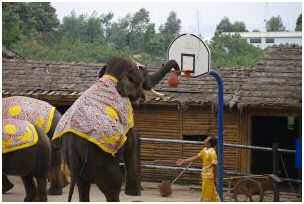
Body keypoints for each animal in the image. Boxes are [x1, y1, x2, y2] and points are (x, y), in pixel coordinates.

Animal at [52, 56, 180, 202]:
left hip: (76, 166)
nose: (178, 72)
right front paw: (134, 193)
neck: (112, 75)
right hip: (102, 163)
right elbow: (131, 142)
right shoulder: (126, 114)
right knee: (113, 186)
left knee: (83, 186)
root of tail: (73, 150)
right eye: (143, 76)